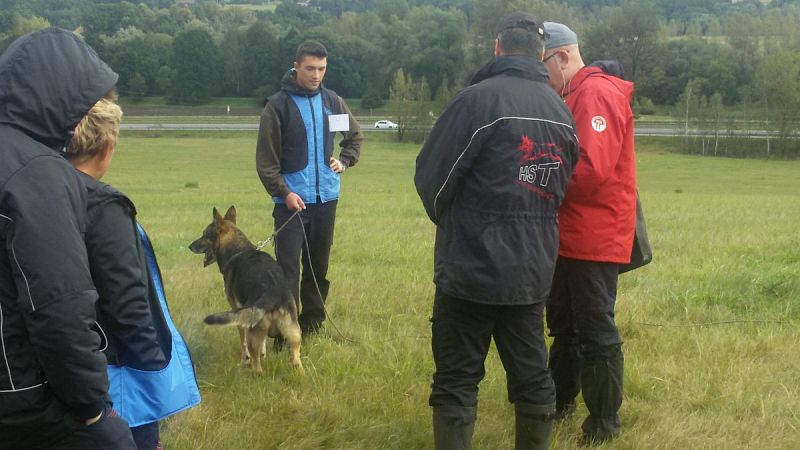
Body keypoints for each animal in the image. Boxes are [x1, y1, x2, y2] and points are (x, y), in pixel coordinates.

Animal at [190, 207, 304, 372]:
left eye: (204, 234)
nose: (189, 246)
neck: (238, 249)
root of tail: (273, 294)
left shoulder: (238, 313)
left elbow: (242, 341)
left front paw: (244, 359)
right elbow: (263, 343)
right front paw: (263, 353)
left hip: (253, 332)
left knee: (257, 365)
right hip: (294, 335)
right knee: (296, 360)